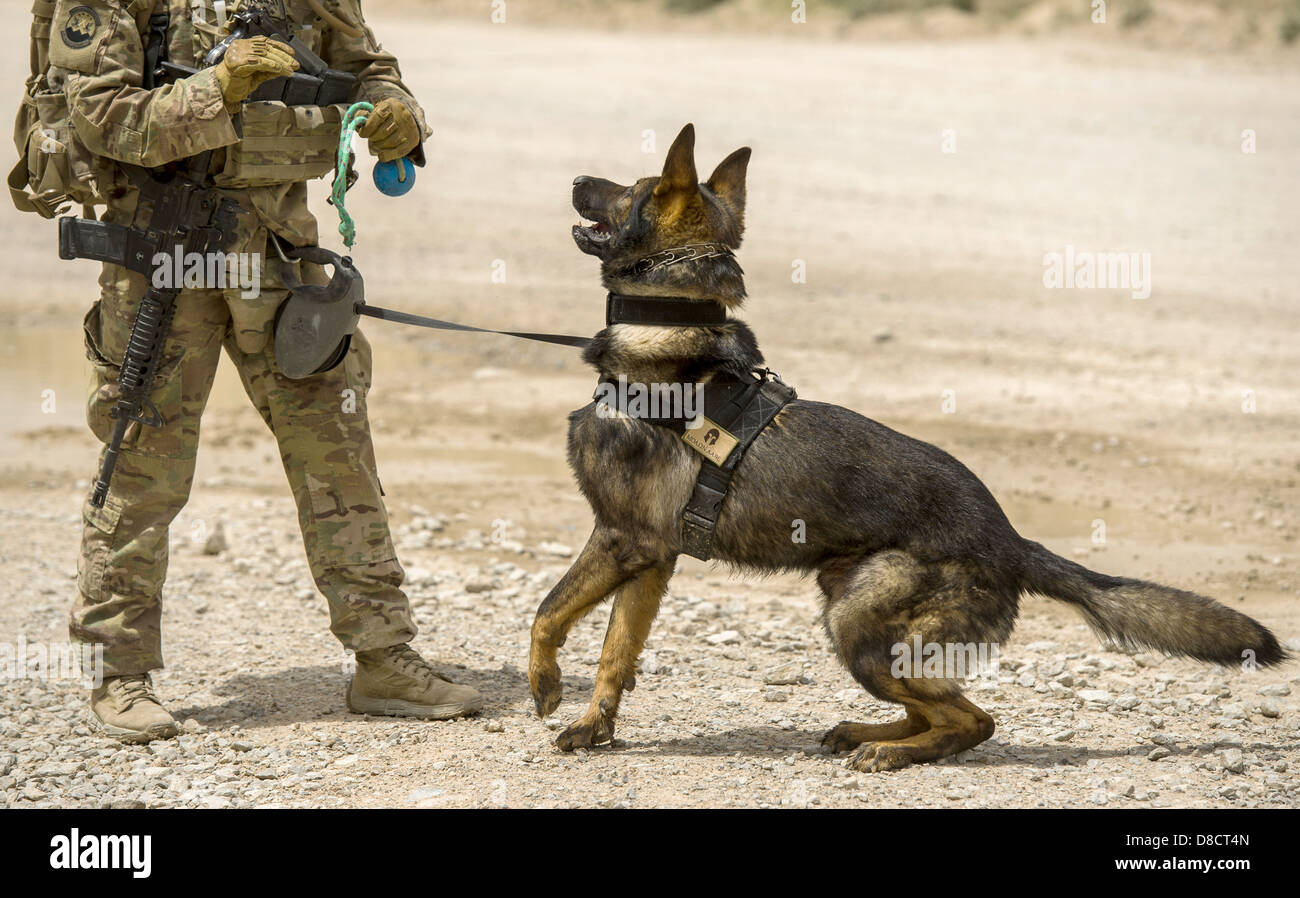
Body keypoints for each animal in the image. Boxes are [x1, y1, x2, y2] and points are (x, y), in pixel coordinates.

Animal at [525, 124, 1279, 774]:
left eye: (630, 187)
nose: (576, 178)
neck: (665, 334)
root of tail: (1011, 542)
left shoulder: (621, 541)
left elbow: (547, 611)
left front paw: (544, 685)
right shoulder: (650, 557)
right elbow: (616, 653)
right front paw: (593, 726)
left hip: (857, 624)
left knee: (972, 720)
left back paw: (888, 752)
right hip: (851, 605)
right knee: (942, 711)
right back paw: (869, 732)